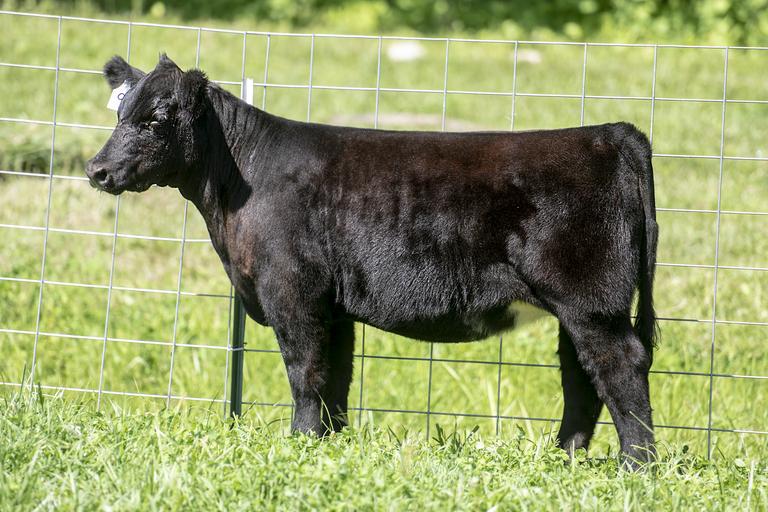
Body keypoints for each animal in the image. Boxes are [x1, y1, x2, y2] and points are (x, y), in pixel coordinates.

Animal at [86, 54, 659, 468]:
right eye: (118, 114)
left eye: (157, 118)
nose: (97, 170)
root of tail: (610, 132)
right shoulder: (333, 307)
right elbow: (335, 380)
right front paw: (327, 446)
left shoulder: (293, 293)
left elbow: (306, 372)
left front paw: (299, 445)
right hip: (579, 308)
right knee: (582, 376)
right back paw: (565, 459)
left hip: (590, 301)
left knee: (620, 365)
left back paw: (637, 464)